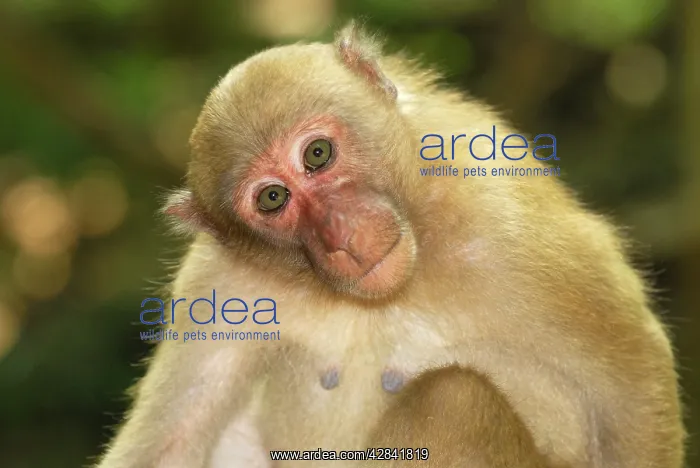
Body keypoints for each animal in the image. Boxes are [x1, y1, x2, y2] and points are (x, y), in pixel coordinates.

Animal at [96, 22, 685, 468]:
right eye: (272, 199)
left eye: (316, 154)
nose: (340, 234)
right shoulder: (218, 282)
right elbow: (167, 446)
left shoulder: (503, 214)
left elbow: (630, 394)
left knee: (452, 398)